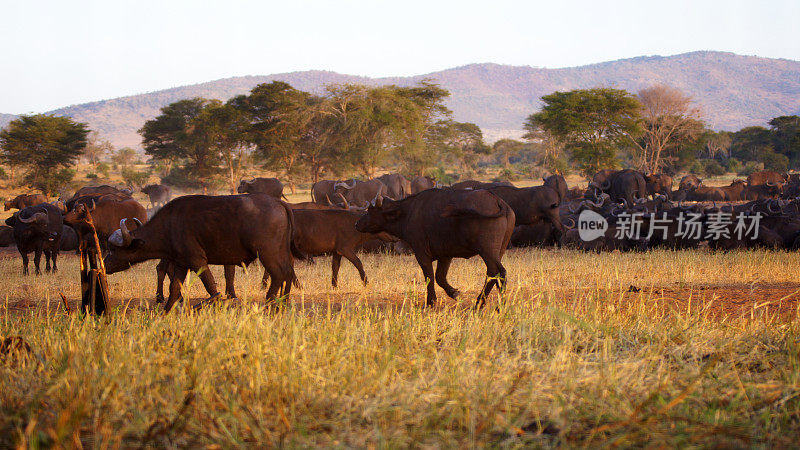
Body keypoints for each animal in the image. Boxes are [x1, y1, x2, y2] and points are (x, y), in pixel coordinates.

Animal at [105, 193, 304, 312]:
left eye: (113, 249)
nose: (104, 265)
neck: (169, 225)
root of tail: (279, 203)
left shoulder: (197, 261)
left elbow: (211, 288)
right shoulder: (181, 263)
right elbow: (174, 288)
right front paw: (167, 311)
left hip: (267, 252)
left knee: (278, 274)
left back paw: (269, 303)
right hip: (281, 252)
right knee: (287, 272)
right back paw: (283, 302)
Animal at [354, 188, 516, 308]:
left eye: (370, 211)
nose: (357, 223)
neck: (408, 213)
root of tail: (498, 201)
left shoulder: (421, 254)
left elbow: (429, 277)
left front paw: (431, 302)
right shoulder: (446, 256)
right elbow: (439, 277)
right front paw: (455, 293)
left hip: (487, 251)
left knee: (499, 272)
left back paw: (498, 305)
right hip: (498, 251)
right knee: (492, 273)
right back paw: (479, 303)